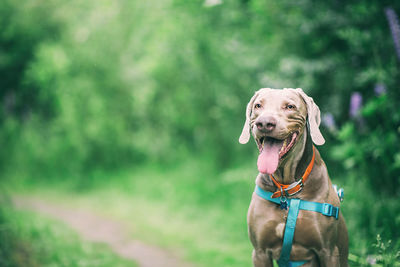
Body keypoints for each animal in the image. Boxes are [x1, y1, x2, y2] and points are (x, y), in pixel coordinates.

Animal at [239, 89, 348, 266]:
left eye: (290, 106)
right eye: (258, 105)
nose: (264, 123)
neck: (288, 191)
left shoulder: (329, 251)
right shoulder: (260, 252)